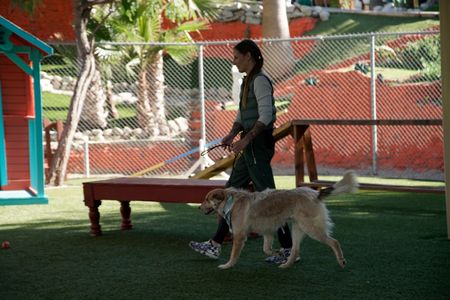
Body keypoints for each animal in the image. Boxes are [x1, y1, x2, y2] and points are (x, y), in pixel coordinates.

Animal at [200, 171, 358, 270]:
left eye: (206, 199)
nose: (199, 208)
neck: (231, 201)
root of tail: (315, 193)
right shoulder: (268, 232)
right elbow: (266, 249)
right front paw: (277, 254)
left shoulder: (239, 236)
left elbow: (234, 254)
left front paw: (227, 265)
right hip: (297, 229)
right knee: (295, 250)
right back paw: (285, 265)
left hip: (311, 229)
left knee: (334, 242)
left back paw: (341, 261)